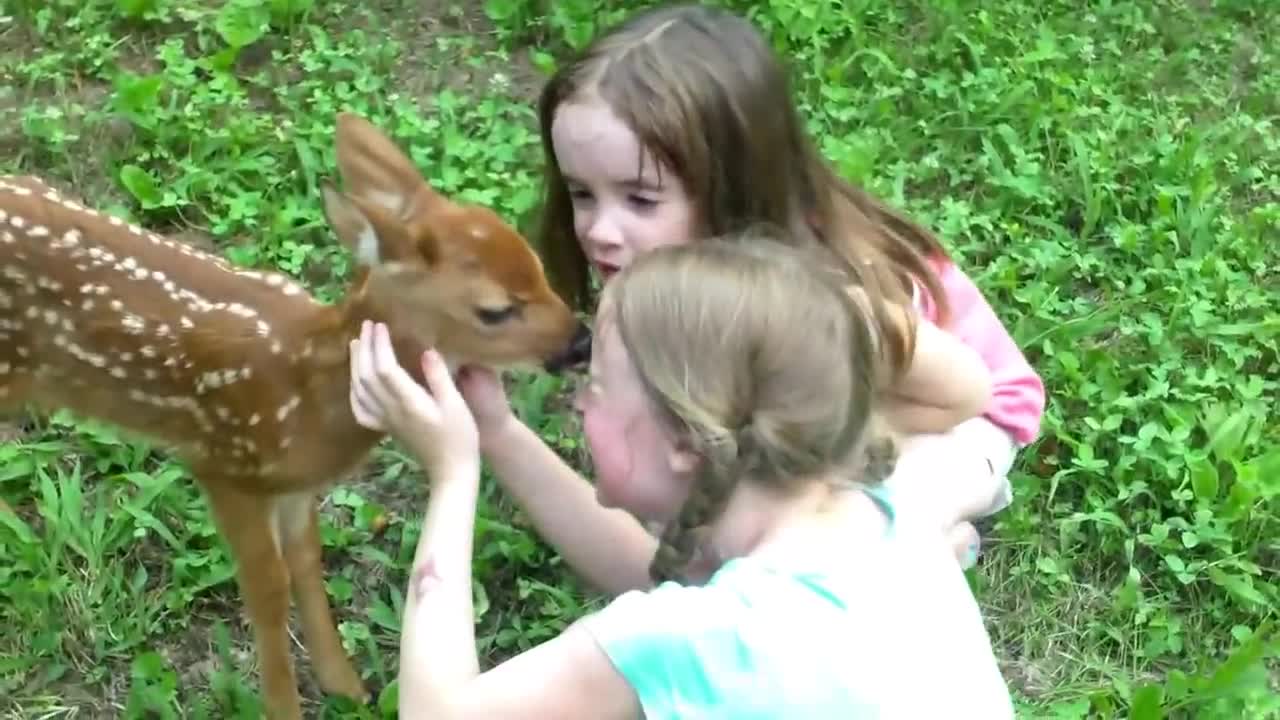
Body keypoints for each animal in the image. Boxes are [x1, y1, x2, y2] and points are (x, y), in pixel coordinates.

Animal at [0, 112, 588, 717]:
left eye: (539, 267)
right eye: (495, 310)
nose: (581, 343)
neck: (308, 397)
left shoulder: (292, 486)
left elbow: (307, 562)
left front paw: (343, 683)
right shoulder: (222, 462)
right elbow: (268, 586)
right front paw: (282, 705)